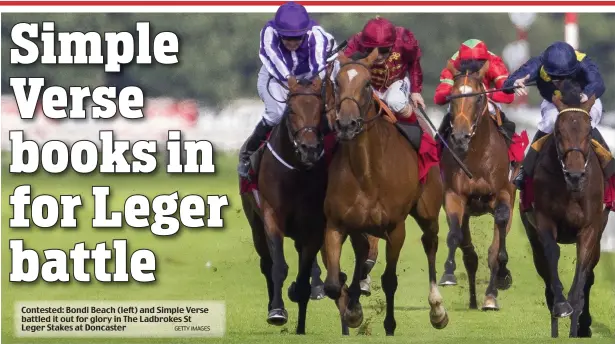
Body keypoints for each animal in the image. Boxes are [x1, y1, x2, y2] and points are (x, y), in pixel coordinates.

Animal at [241, 74, 340, 334]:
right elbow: (279, 267)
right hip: (255, 225)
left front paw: (301, 325)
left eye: (320, 109)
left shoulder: (314, 226)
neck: (296, 171)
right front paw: (277, 311)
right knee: (266, 263)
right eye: (291, 110)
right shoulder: (271, 216)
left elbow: (304, 278)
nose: (309, 149)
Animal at [322, 49, 448, 334]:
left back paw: (437, 309)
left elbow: (390, 279)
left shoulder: (395, 227)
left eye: (367, 83)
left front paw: (389, 324)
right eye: (337, 83)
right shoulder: (336, 223)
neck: (367, 171)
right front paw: (353, 311)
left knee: (430, 243)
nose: (347, 124)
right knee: (362, 255)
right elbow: (334, 283)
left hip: (428, 211)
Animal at [438, 59, 520, 310]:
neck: (477, 154)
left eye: (478, 98)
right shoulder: (454, 196)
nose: (460, 137)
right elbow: (455, 237)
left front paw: (494, 290)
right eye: (452, 97)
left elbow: (497, 249)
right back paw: (473, 300)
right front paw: (448, 274)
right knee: (470, 255)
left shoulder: (503, 195)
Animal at [520, 80, 612, 338]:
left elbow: (582, 272)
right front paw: (561, 306)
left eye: (588, 131)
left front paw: (577, 320)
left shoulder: (590, 228)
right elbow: (552, 257)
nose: (575, 175)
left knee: (590, 274)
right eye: (559, 131)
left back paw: (583, 324)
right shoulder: (543, 221)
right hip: (531, 234)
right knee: (544, 269)